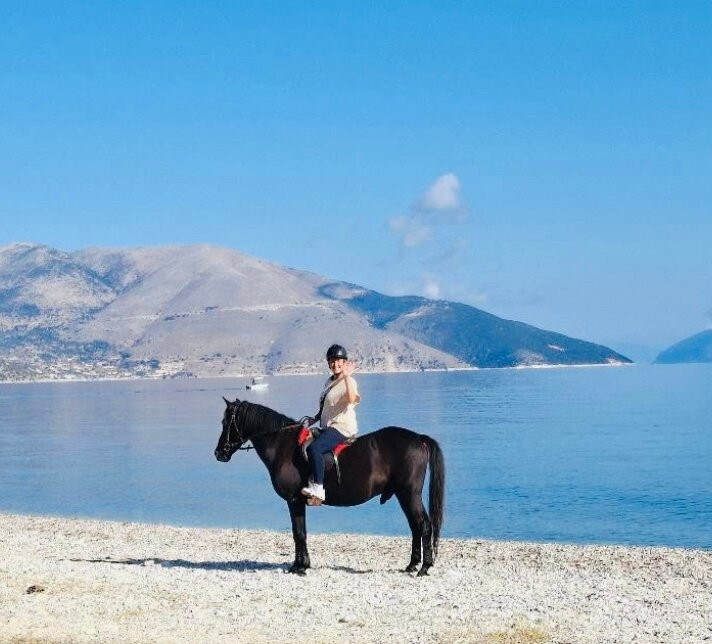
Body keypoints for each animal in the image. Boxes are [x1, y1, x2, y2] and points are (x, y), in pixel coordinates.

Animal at [214, 397, 445, 576]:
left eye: (226, 422)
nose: (219, 453)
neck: (284, 447)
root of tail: (419, 438)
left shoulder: (294, 500)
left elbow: (299, 533)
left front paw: (299, 567)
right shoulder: (297, 502)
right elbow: (300, 532)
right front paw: (301, 564)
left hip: (409, 494)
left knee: (424, 526)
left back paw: (424, 567)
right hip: (403, 495)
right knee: (415, 527)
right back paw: (412, 565)